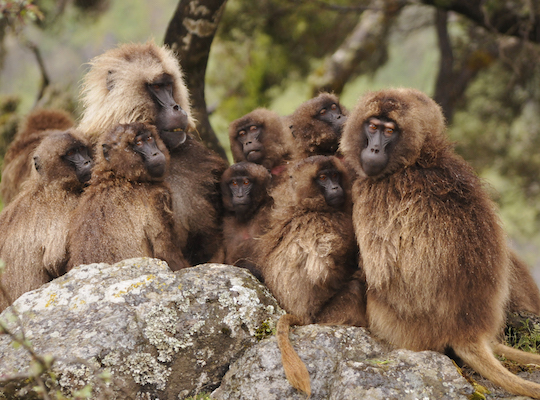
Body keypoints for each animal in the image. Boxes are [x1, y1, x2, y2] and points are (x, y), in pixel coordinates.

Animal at [0, 130, 92, 310]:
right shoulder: (65, 203)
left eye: (82, 149)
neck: (46, 185)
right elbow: (55, 260)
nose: (88, 161)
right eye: (71, 153)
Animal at [67, 122, 188, 272]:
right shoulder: (157, 198)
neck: (120, 177)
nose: (155, 153)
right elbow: (165, 254)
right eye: (139, 143)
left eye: (149, 139)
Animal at [342, 87, 540, 396]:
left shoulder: (372, 193)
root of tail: (467, 331)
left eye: (389, 131)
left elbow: (377, 271)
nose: (373, 150)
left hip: (397, 325)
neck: (422, 158)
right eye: (372, 127)